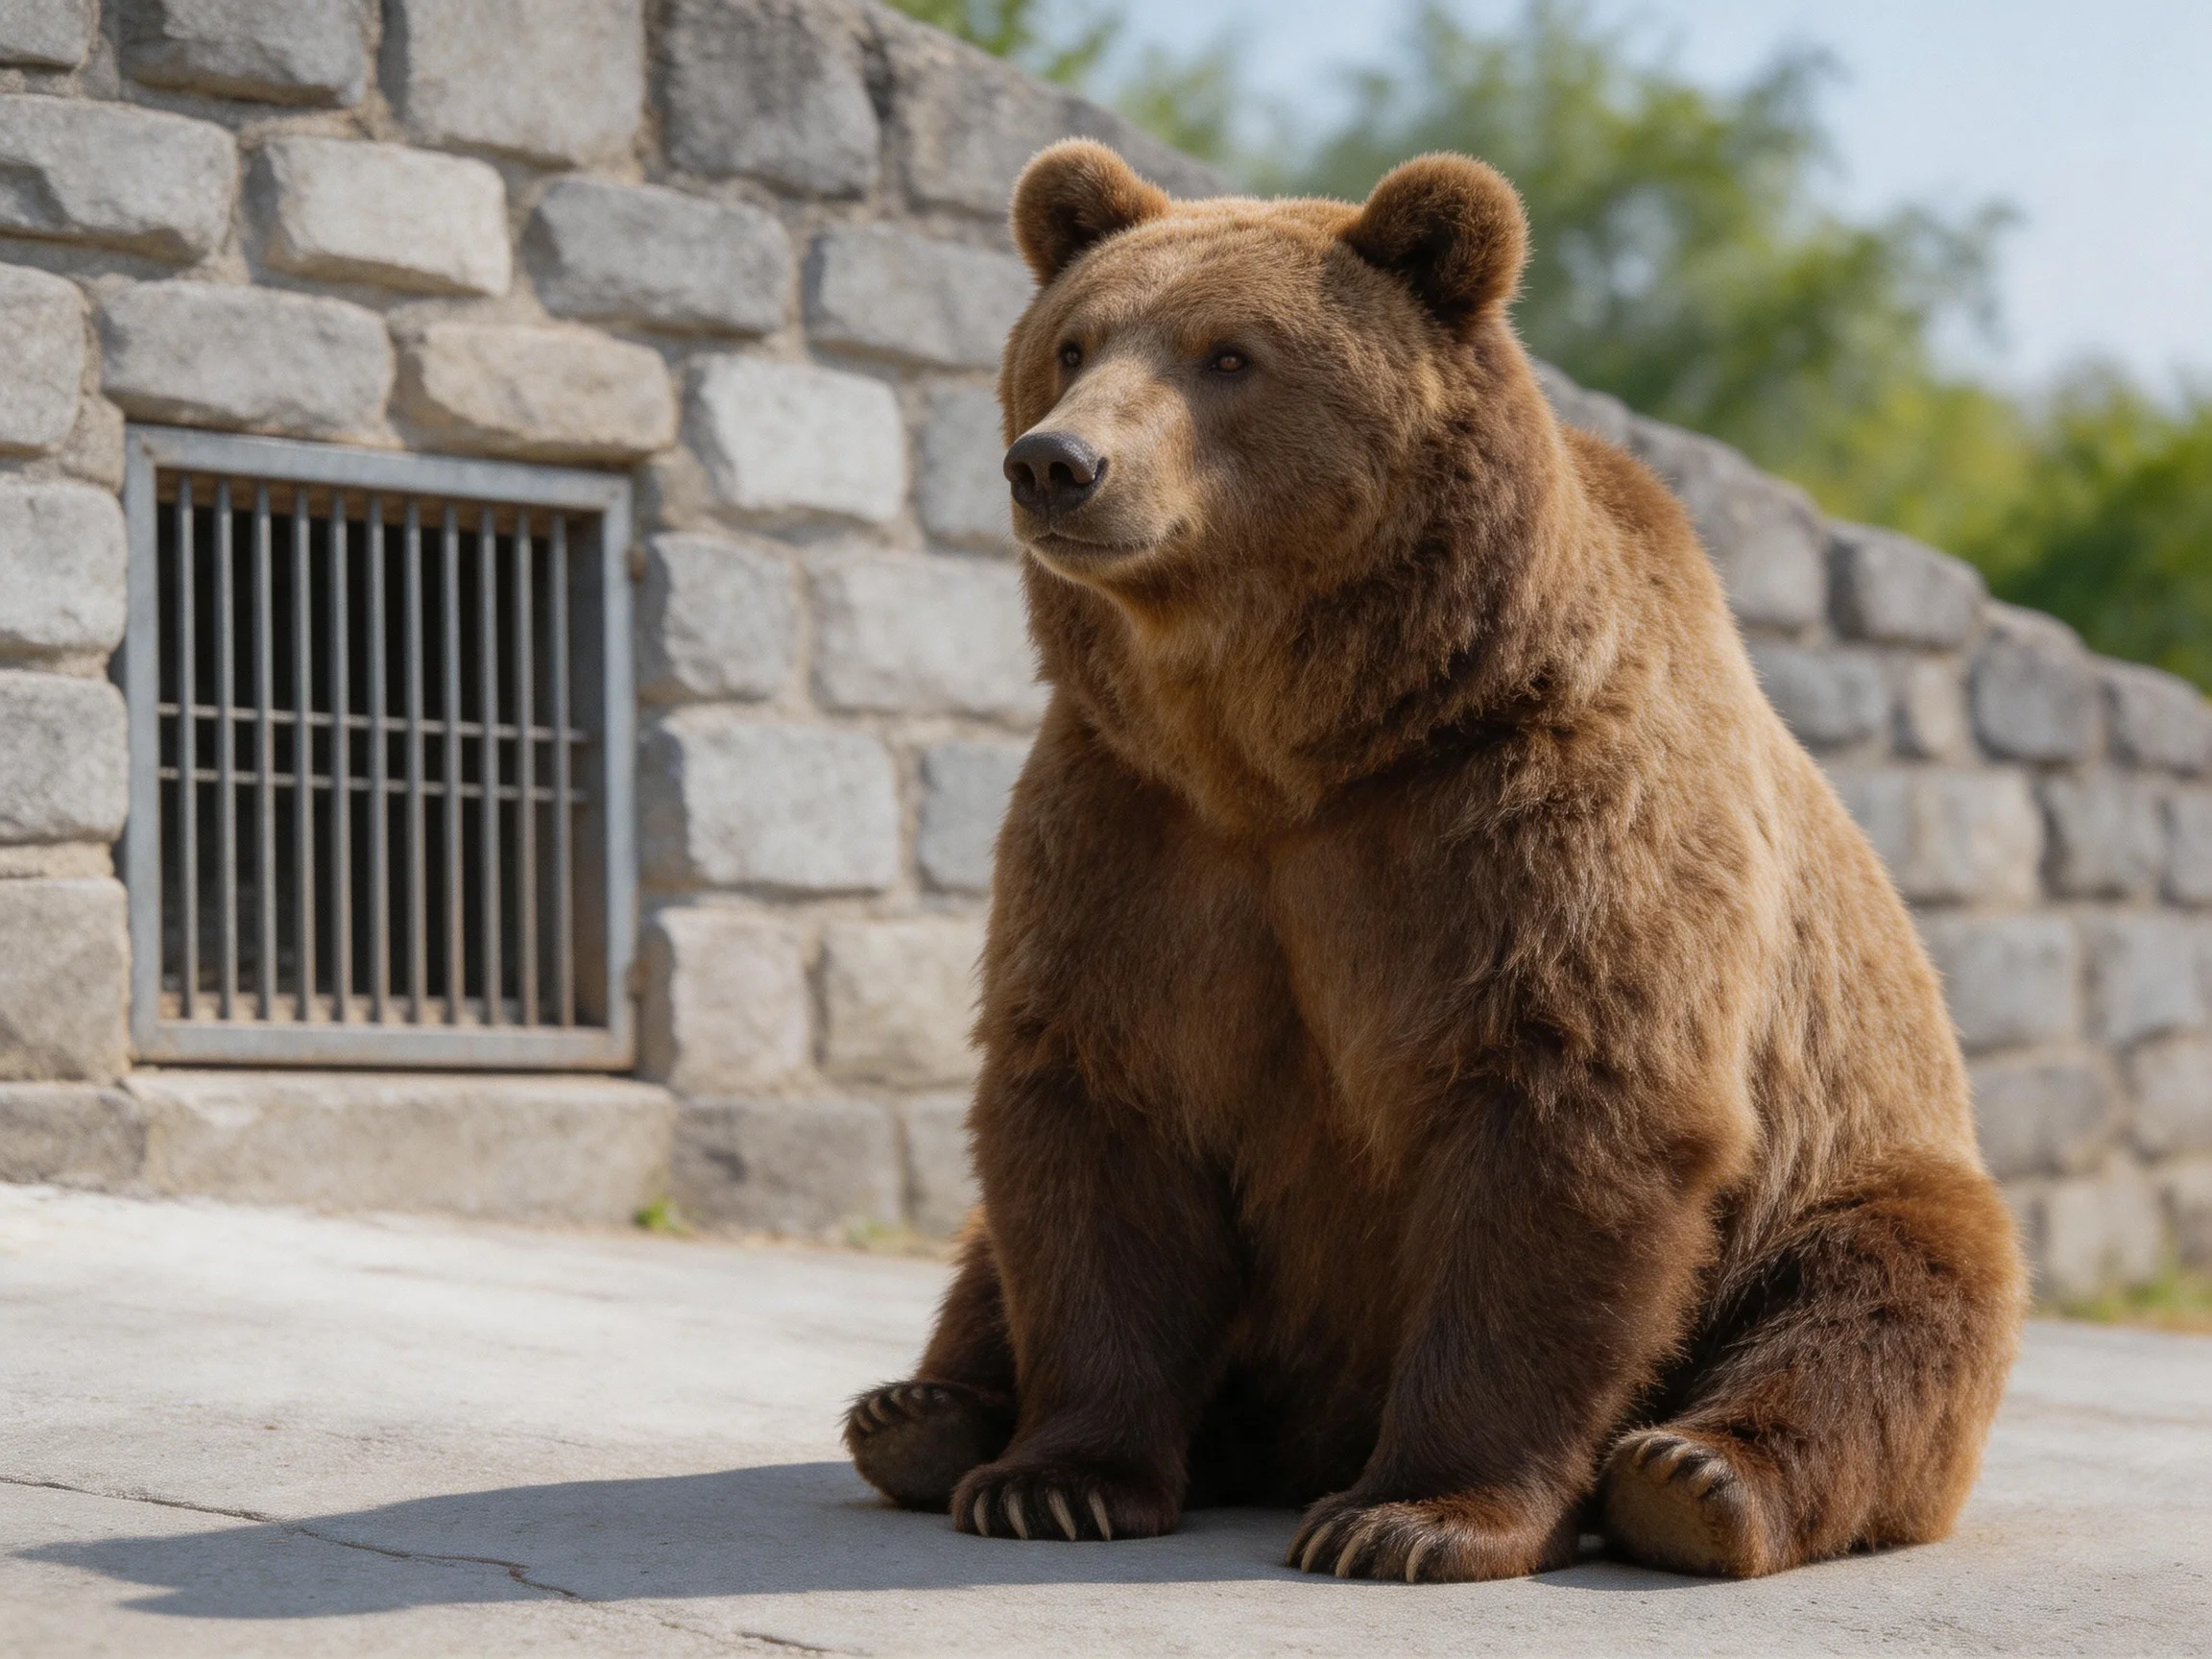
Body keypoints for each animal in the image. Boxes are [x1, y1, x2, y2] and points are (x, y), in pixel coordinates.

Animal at [842, 138, 2026, 1583]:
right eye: (1072, 344)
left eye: (1228, 355)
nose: (1057, 462)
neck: (1291, 748)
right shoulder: (1138, 829)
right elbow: (1095, 1111)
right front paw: (1055, 1481)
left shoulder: (1526, 820)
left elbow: (1564, 1109)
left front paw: (1411, 1516)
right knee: (983, 1255)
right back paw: (923, 1413)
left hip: (1853, 1161)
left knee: (1886, 1291)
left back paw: (1695, 1478)